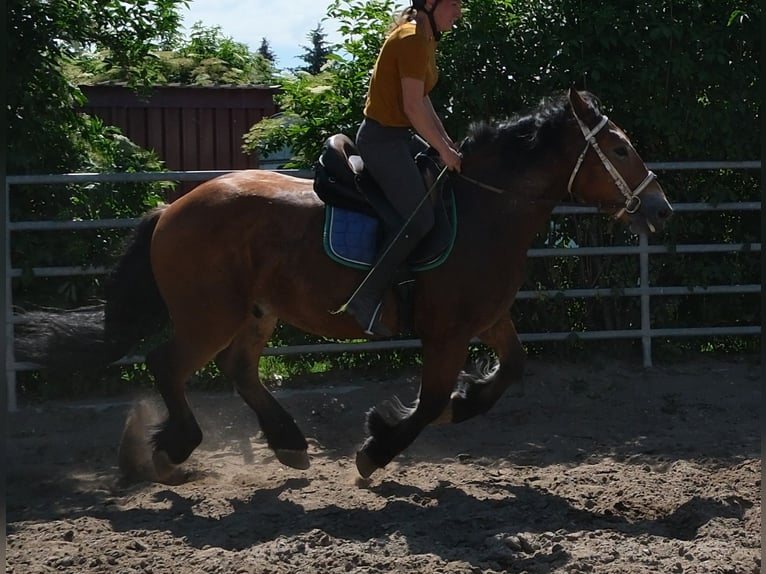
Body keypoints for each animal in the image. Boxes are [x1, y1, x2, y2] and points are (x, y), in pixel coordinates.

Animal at [16, 88, 672, 483]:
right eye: (619, 148)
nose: (660, 208)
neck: (486, 208)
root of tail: (171, 208)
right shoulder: (447, 331)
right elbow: (429, 400)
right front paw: (378, 446)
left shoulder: (487, 319)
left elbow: (508, 371)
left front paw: (460, 402)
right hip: (210, 315)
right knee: (167, 364)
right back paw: (171, 449)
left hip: (256, 311)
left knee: (239, 370)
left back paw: (286, 441)